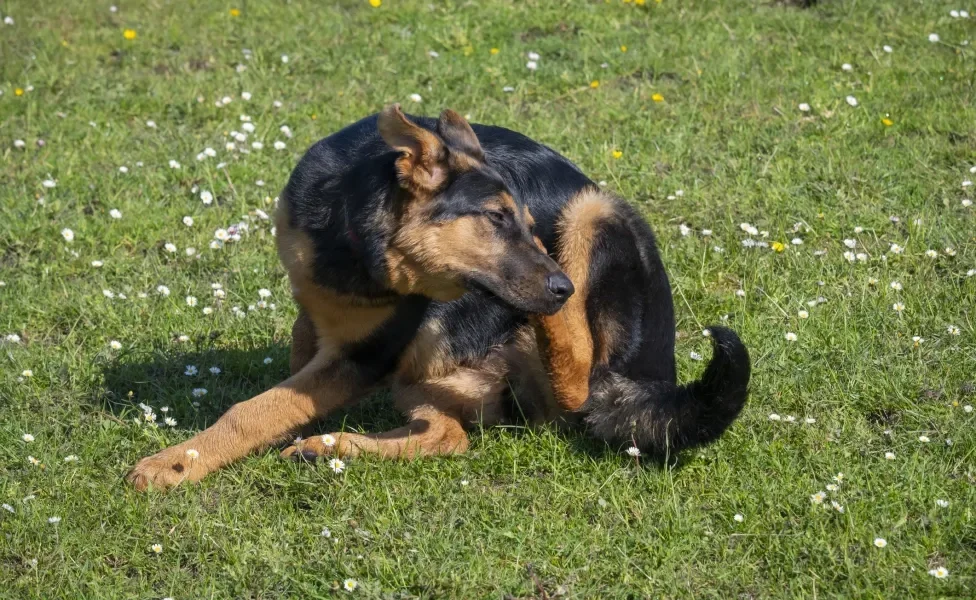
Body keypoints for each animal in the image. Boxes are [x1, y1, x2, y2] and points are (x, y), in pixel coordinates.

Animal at [127, 105, 756, 490]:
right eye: (497, 219)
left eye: (526, 223)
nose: (562, 288)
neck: (357, 243)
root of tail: (656, 376)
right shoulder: (319, 316)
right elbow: (291, 378)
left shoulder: (368, 354)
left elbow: (256, 408)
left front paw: (173, 465)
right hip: (426, 372)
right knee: (450, 437)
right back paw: (328, 446)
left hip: (596, 216)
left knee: (577, 377)